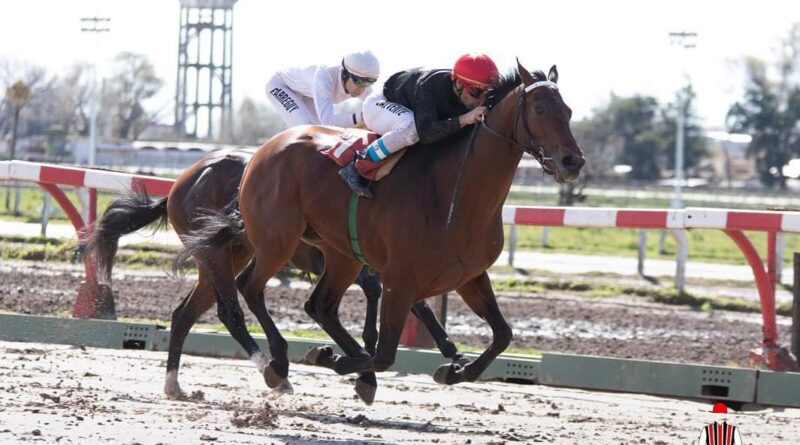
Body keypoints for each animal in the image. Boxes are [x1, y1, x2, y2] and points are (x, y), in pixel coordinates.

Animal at [85, 148, 464, 399]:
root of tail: (181, 183)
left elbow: (412, 301)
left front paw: (453, 353)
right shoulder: (345, 259)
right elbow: (381, 292)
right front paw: (369, 349)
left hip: (225, 255)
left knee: (184, 314)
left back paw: (174, 384)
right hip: (221, 255)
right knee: (230, 310)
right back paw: (275, 372)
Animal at [182, 61, 584, 404]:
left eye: (568, 111)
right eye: (540, 110)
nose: (573, 162)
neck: (455, 192)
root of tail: (263, 151)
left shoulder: (469, 275)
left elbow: (502, 335)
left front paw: (452, 369)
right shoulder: (399, 281)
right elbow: (385, 353)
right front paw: (332, 359)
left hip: (339, 253)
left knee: (318, 304)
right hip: (276, 239)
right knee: (249, 287)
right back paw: (278, 364)